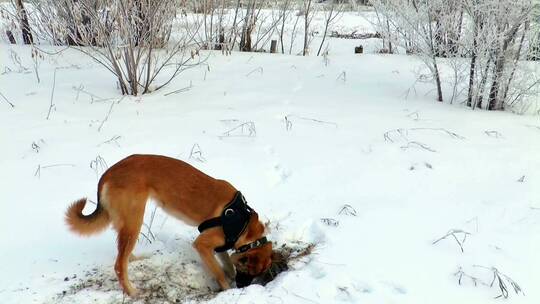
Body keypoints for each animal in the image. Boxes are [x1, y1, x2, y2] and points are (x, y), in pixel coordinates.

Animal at [65, 153, 272, 296]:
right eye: (249, 271)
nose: (244, 286)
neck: (243, 223)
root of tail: (108, 173)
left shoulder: (220, 245)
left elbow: (226, 263)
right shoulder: (202, 244)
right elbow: (219, 272)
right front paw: (227, 287)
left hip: (126, 223)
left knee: (123, 254)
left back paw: (135, 260)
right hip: (134, 220)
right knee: (118, 265)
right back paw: (132, 292)